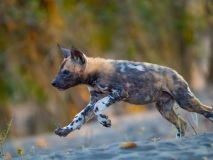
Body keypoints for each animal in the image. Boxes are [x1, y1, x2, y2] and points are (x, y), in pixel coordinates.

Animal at [51, 44, 213, 138]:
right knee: (182, 124)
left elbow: (98, 108)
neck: (93, 74)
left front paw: (105, 121)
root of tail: (175, 72)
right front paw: (65, 130)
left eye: (66, 72)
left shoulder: (119, 93)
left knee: (207, 111)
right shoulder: (93, 101)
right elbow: (79, 117)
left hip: (186, 102)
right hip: (163, 108)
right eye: (60, 71)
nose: (53, 83)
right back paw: (177, 142)